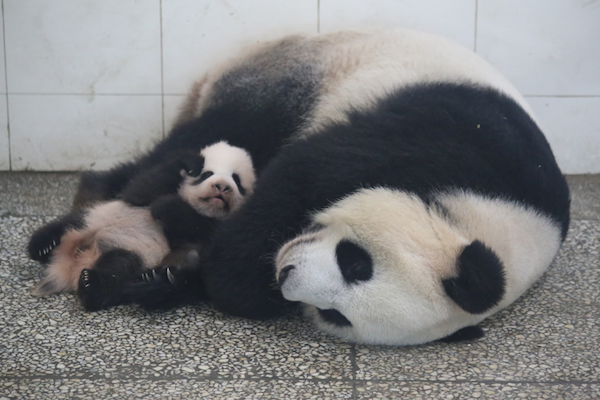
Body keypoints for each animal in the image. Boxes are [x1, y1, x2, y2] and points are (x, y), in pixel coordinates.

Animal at [27, 142, 255, 310]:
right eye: (207, 174)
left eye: (236, 180)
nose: (222, 186)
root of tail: (71, 265)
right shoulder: (140, 196)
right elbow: (141, 188)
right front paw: (190, 161)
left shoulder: (214, 230)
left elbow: (194, 228)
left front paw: (168, 206)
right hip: (93, 218)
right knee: (64, 226)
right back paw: (43, 247)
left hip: (132, 254)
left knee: (117, 269)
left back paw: (91, 285)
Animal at [86, 28, 568, 346]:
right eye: (356, 262)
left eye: (333, 314)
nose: (284, 274)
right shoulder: (458, 138)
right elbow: (307, 171)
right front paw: (223, 270)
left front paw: (174, 279)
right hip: (289, 81)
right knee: (218, 134)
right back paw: (106, 185)